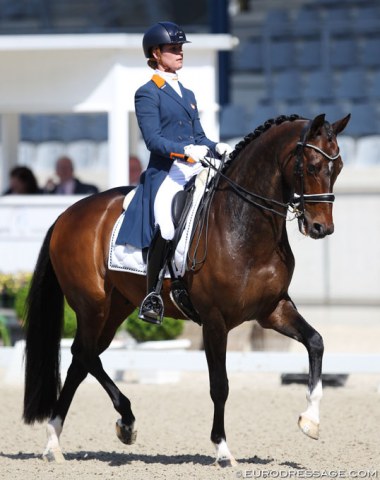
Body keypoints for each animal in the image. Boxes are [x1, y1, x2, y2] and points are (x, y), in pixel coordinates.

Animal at [23, 112, 350, 464]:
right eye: (311, 167)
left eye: (338, 167)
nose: (321, 228)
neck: (243, 223)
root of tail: (67, 214)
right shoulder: (214, 320)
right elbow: (219, 385)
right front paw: (222, 449)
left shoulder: (273, 310)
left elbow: (316, 342)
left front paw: (310, 421)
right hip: (91, 305)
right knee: (83, 354)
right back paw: (121, 421)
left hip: (115, 307)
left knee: (81, 361)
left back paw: (59, 439)